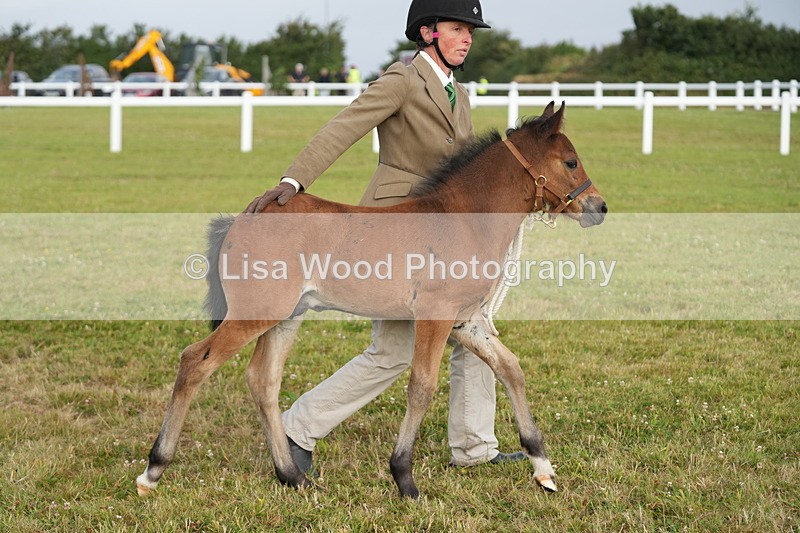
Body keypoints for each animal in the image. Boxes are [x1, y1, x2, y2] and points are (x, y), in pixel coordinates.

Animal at [136, 101, 607, 499]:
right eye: (570, 161)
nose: (599, 207)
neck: (463, 220)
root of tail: (244, 217)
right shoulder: (435, 317)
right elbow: (422, 386)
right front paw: (404, 478)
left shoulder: (467, 321)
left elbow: (511, 369)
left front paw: (542, 468)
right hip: (256, 312)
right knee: (195, 361)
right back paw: (153, 470)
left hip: (286, 316)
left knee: (263, 381)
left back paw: (291, 476)